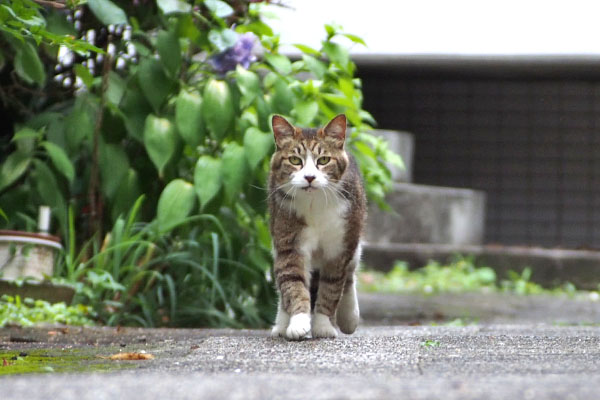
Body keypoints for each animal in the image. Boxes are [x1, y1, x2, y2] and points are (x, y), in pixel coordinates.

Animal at [270, 114, 368, 340]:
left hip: (353, 238)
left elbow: (331, 288)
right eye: (295, 160)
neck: (314, 203)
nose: (309, 177)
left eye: (323, 160)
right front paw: (298, 322)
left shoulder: (339, 247)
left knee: (349, 274)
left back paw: (349, 318)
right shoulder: (289, 242)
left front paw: (323, 325)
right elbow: (293, 283)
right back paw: (281, 324)